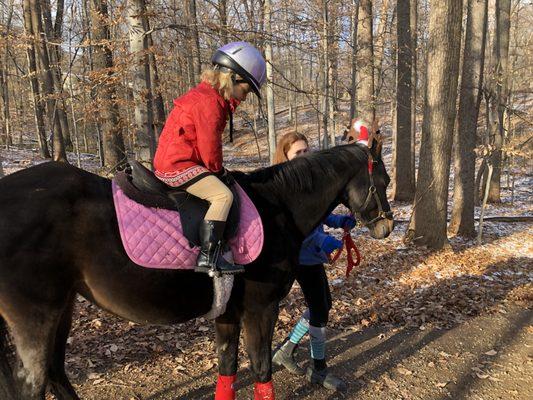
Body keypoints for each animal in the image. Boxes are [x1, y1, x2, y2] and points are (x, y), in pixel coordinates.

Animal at [0, 142, 390, 398]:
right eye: (383, 181)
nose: (387, 226)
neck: (277, 208)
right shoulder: (261, 309)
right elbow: (260, 368)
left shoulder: (228, 313)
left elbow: (227, 368)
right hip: (37, 318)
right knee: (34, 383)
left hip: (63, 307)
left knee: (56, 372)